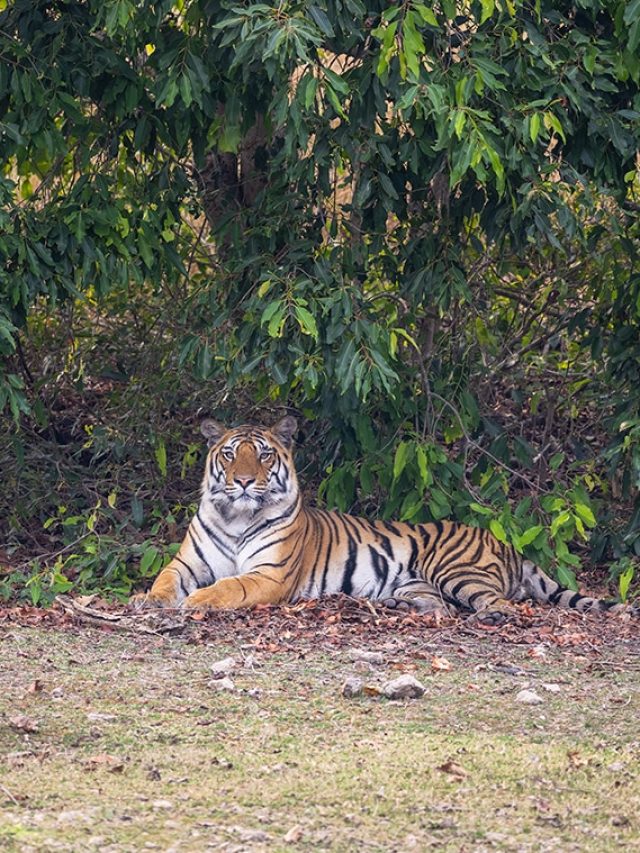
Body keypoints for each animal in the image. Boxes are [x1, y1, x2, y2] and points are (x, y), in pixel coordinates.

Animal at [131, 416, 635, 623]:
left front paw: (198, 602)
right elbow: (163, 580)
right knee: (441, 607)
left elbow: (229, 587)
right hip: (420, 583)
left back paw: (492, 616)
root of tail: (503, 543)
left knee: (504, 605)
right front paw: (146, 600)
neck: (236, 516)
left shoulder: (268, 574)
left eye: (265, 456)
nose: (241, 482)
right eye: (231, 454)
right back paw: (395, 607)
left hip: (456, 569)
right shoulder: (188, 564)